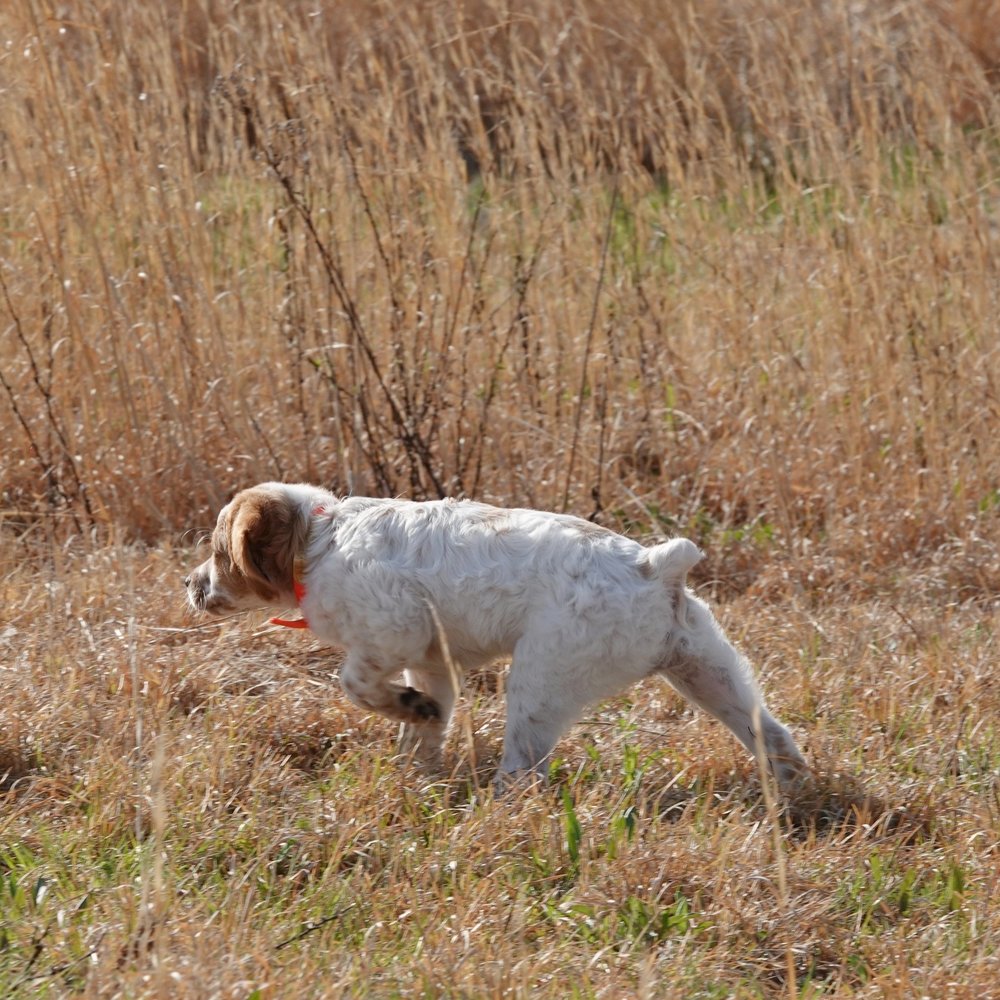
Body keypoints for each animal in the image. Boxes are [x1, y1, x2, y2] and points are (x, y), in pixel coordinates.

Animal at [186, 480, 812, 792]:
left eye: (219, 551)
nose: (189, 585)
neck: (320, 540)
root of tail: (655, 567)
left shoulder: (393, 631)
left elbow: (355, 683)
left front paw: (404, 716)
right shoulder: (430, 661)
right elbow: (427, 719)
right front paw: (415, 762)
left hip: (541, 681)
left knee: (525, 770)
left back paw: (497, 804)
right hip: (708, 670)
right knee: (771, 733)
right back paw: (790, 790)